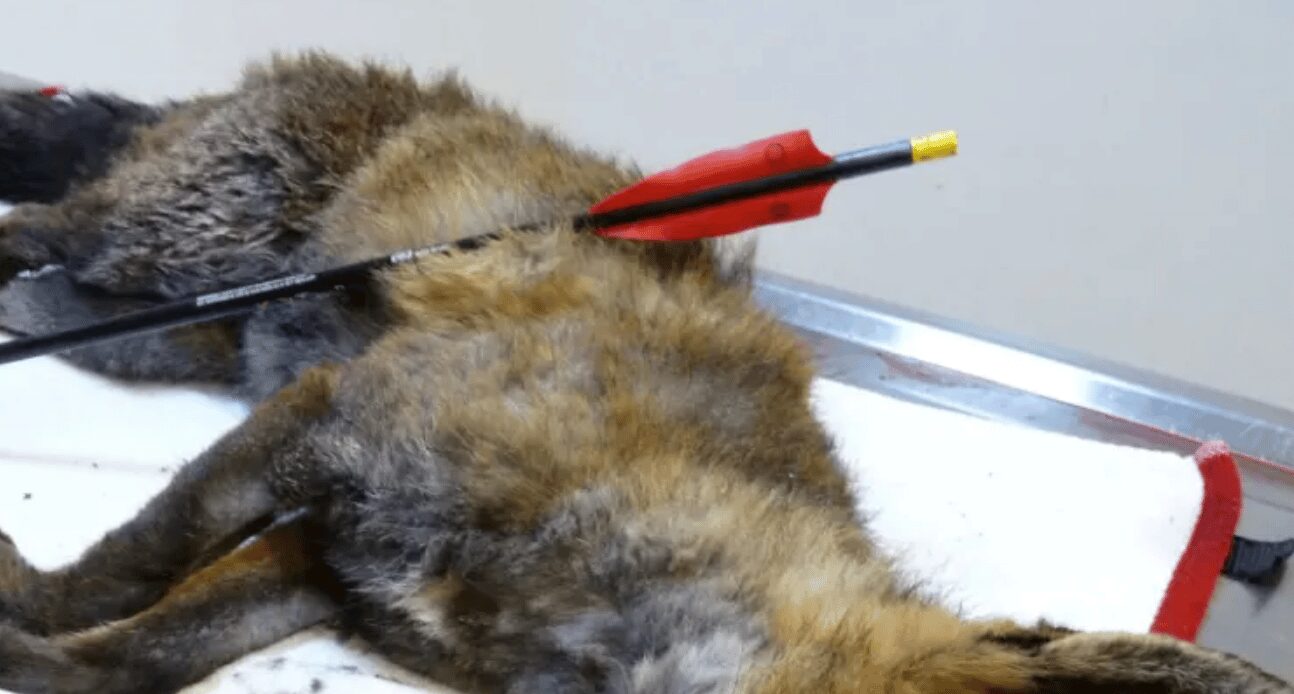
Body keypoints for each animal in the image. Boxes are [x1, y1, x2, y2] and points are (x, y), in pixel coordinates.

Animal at [0, 52, 1288, 693]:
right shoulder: (345, 426)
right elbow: (135, 562)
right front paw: (29, 602)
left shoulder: (334, 559)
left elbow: (146, 650)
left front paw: (41, 659)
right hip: (176, 235)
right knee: (45, 221)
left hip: (174, 329)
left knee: (77, 297)